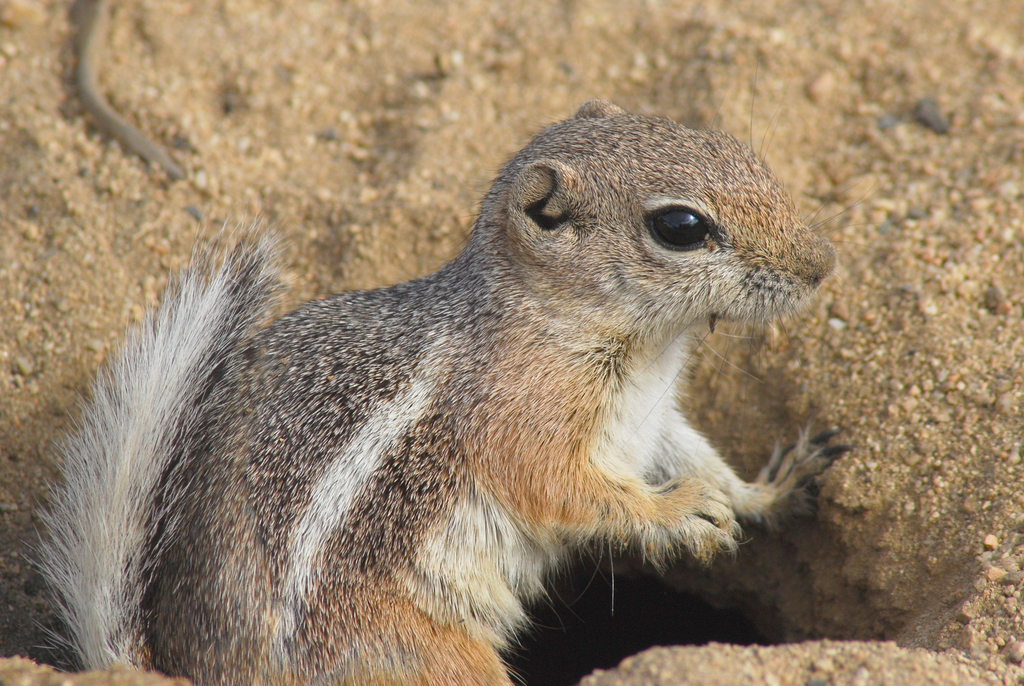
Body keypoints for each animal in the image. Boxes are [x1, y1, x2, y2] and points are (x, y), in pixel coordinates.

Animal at [39, 100, 847, 686]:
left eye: (735, 148)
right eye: (680, 226)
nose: (822, 264)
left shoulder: (655, 417)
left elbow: (699, 456)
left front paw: (771, 489)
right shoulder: (522, 419)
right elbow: (564, 488)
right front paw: (677, 511)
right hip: (422, 651)